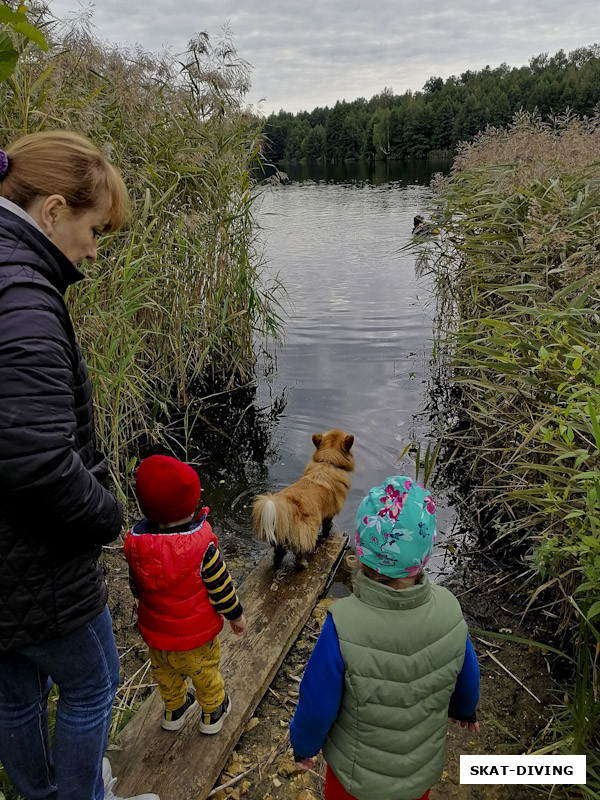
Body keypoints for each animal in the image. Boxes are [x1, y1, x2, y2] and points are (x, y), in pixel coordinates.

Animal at [252, 432, 354, 568]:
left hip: (280, 536)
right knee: (300, 553)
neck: (327, 461)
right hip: (307, 532)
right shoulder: (329, 513)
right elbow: (327, 526)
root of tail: (288, 505)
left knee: (278, 554)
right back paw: (303, 564)